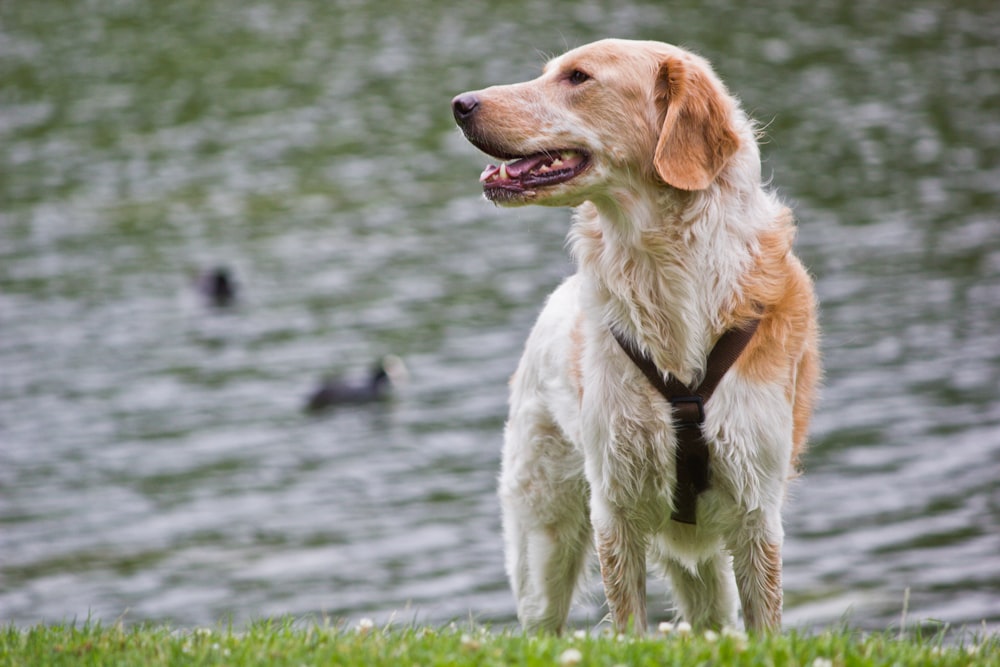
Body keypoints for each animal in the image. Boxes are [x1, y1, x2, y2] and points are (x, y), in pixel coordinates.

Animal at [454, 39, 820, 636]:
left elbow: (765, 624)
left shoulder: (756, 514)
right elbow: (629, 625)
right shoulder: (616, 508)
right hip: (543, 544)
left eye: (577, 77)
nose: (460, 103)